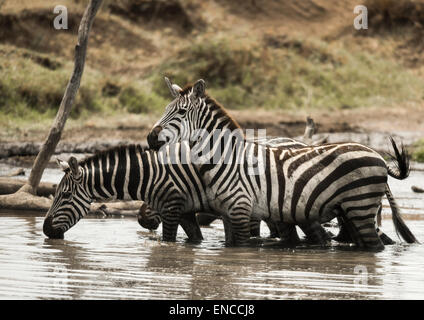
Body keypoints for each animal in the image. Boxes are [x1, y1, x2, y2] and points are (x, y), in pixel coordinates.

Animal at [146, 77, 418, 250]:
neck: (226, 161)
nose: (150, 138)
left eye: (181, 113)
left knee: (376, 247)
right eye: (165, 110)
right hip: (351, 212)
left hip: (360, 206)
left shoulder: (241, 210)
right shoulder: (228, 214)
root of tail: (377, 155)